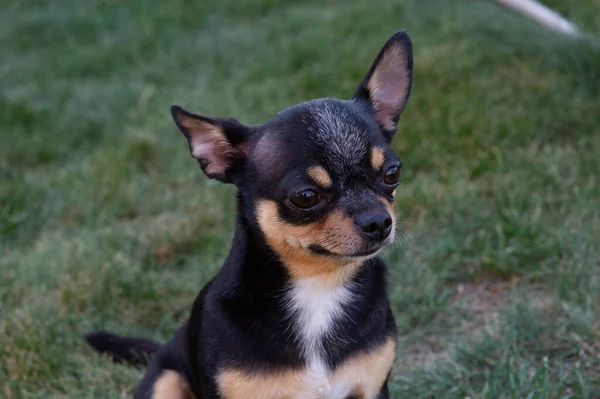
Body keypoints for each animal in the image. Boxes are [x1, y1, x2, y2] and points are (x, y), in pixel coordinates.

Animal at [85, 29, 412, 398]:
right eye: (306, 196)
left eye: (392, 173)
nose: (379, 222)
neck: (318, 287)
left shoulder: (372, 388)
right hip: (165, 381)